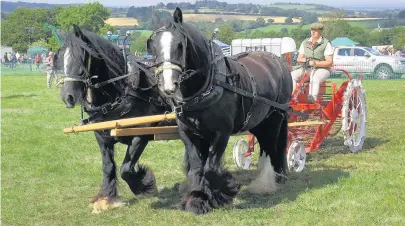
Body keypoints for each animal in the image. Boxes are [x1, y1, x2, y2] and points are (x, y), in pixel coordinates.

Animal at [54, 25, 172, 214]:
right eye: (60, 57)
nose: (67, 97)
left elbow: (125, 169)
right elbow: (108, 166)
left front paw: (145, 185)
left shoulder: (141, 135)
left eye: (81, 57)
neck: (122, 91)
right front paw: (107, 198)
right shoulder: (102, 136)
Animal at [147, 8, 292, 214]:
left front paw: (223, 191)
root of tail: (278, 62)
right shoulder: (189, 134)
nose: (168, 85)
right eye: (152, 46)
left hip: (275, 118)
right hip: (259, 122)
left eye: (180, 45)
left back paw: (268, 182)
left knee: (272, 147)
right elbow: (197, 168)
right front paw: (196, 199)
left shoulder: (221, 133)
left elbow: (210, 168)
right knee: (266, 145)